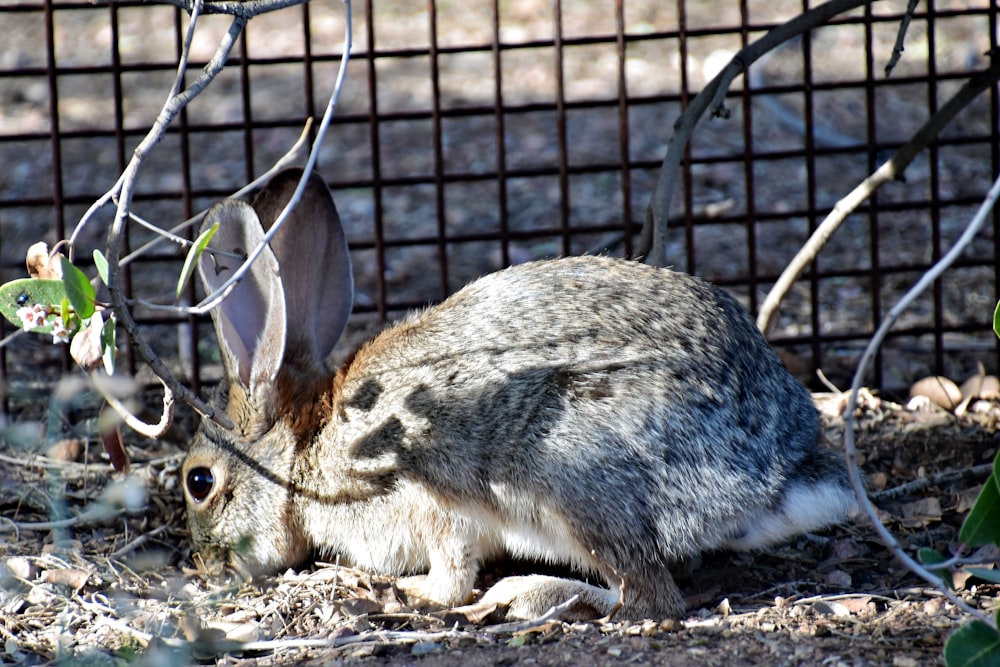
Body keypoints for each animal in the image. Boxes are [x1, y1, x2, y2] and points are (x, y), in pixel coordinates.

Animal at [182, 167, 860, 620]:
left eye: (199, 482)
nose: (205, 566)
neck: (304, 453)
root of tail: (782, 474)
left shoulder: (429, 499)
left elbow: (452, 575)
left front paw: (405, 591)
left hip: (572, 478)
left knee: (650, 599)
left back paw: (526, 593)